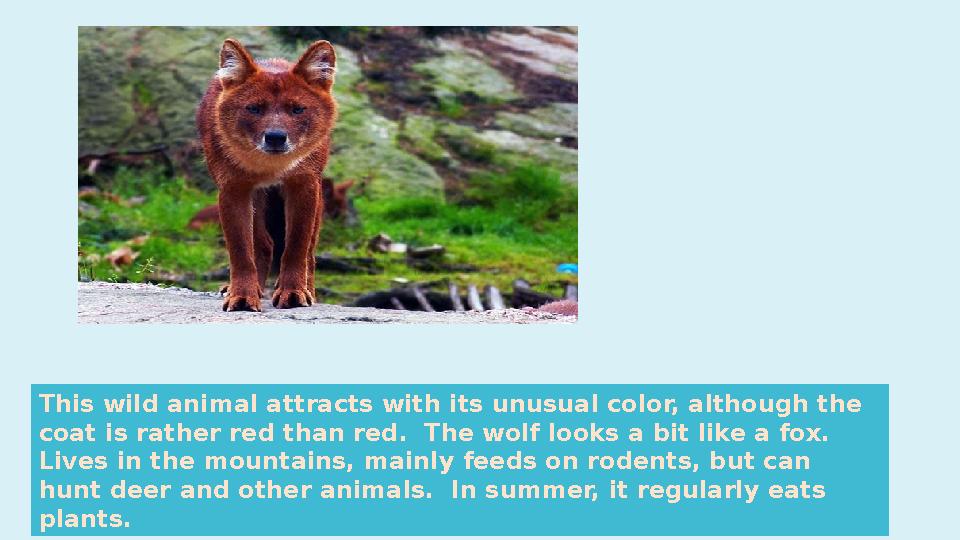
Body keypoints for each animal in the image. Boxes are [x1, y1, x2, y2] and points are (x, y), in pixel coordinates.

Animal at [197, 38, 338, 311]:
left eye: (297, 110)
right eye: (254, 108)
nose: (275, 137)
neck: (270, 167)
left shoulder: (303, 185)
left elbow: (297, 246)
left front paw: (293, 292)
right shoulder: (233, 189)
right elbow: (241, 251)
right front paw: (242, 295)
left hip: (317, 196)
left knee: (310, 252)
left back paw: (307, 289)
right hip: (258, 196)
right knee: (264, 244)